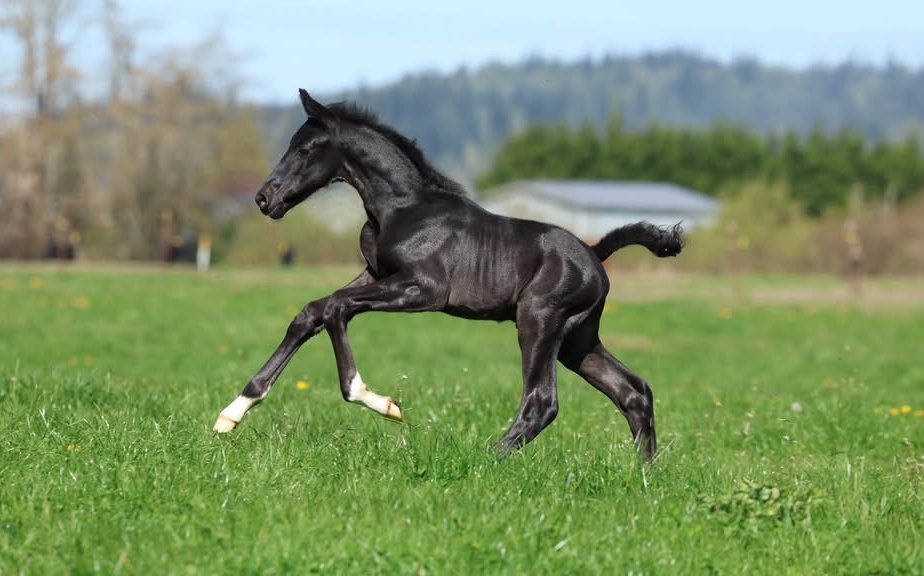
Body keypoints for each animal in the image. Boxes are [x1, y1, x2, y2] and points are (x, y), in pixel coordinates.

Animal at [213, 90, 684, 460]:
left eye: (304, 149)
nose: (264, 198)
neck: (402, 207)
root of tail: (594, 254)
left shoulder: (425, 289)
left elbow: (334, 308)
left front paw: (376, 401)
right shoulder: (374, 275)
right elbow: (311, 312)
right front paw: (233, 412)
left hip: (539, 321)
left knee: (543, 400)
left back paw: (488, 458)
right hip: (578, 340)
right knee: (633, 391)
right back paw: (644, 473)